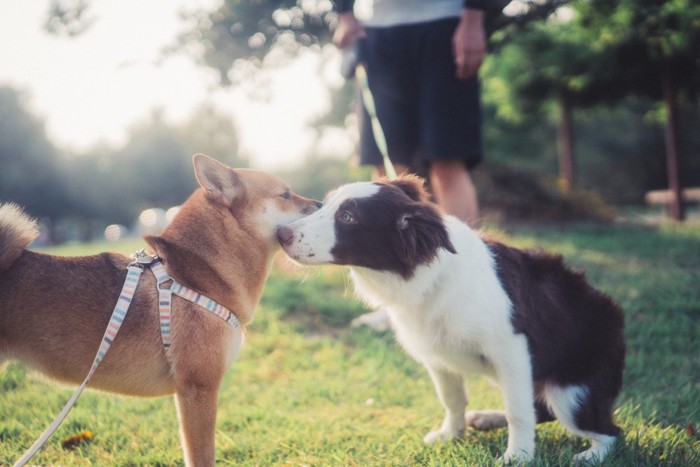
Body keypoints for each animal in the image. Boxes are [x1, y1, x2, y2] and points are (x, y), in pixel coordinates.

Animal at [0, 154, 322, 464]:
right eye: (285, 194)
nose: (320, 203)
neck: (197, 276)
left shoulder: (186, 394)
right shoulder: (198, 389)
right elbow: (203, 457)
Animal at [276, 175, 628, 464]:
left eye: (347, 218)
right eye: (326, 203)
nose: (281, 234)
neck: (429, 277)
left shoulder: (511, 348)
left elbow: (518, 410)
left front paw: (518, 456)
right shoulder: (437, 354)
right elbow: (452, 399)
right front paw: (451, 435)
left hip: (571, 393)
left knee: (609, 431)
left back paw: (590, 455)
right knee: (540, 407)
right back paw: (487, 418)